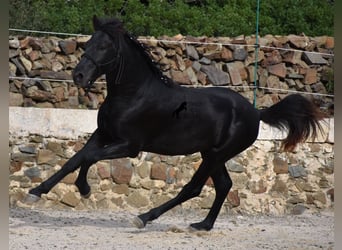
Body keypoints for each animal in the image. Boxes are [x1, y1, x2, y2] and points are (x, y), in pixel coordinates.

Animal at [28, 15, 324, 230]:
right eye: (88, 43)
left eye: (104, 46)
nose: (78, 76)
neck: (133, 94)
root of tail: (256, 113)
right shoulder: (102, 134)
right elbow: (74, 159)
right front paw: (37, 190)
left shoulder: (129, 145)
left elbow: (89, 157)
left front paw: (84, 189)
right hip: (211, 154)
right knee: (224, 185)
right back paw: (203, 225)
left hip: (216, 155)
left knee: (193, 188)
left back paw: (144, 217)